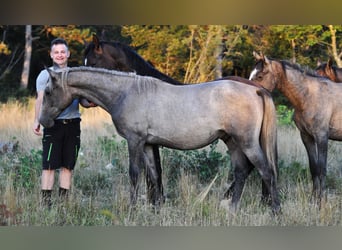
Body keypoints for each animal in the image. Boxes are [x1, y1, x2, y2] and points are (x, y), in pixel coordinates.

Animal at [39, 66, 280, 213]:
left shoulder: (135, 141)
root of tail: (256, 91)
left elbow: (134, 174)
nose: (43, 121)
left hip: (247, 143)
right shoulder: (147, 144)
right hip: (232, 142)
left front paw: (132, 209)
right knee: (241, 171)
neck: (126, 93)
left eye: (48, 91)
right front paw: (156, 209)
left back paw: (275, 210)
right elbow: (154, 175)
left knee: (266, 171)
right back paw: (232, 208)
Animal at [248, 51, 342, 205]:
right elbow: (314, 168)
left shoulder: (322, 137)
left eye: (260, 76)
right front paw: (313, 200)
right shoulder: (306, 137)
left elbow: (322, 169)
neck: (310, 96)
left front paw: (321, 202)